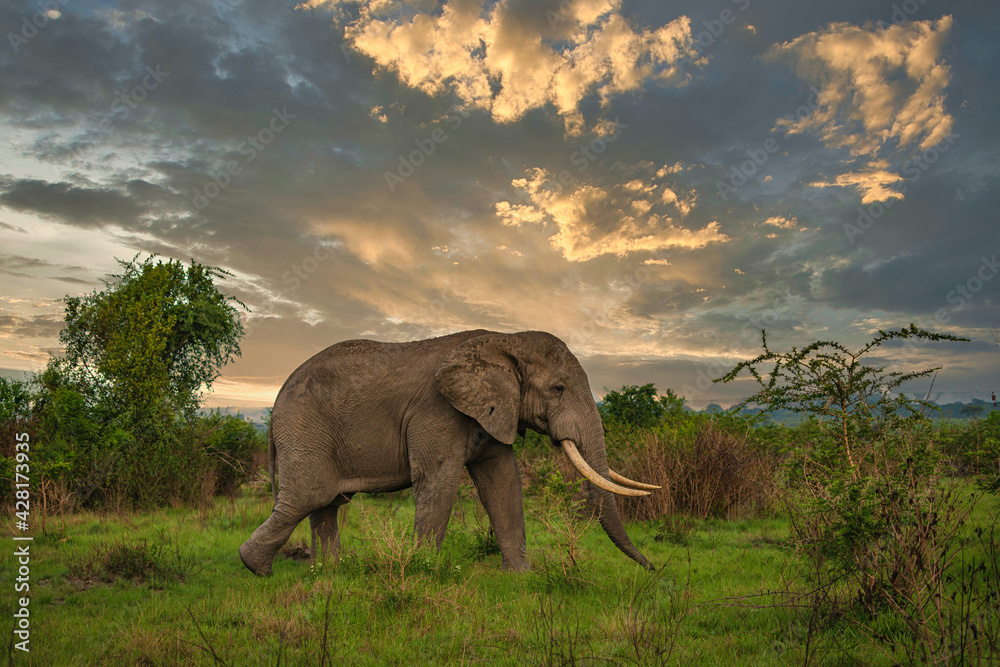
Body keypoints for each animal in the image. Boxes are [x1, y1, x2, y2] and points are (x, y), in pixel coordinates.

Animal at [239, 329, 658, 576]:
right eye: (557, 388)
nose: (653, 569)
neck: (505, 340)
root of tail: (277, 397)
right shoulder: (437, 411)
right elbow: (438, 481)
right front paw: (423, 571)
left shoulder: (493, 412)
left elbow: (503, 483)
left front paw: (520, 577)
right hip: (305, 429)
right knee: (308, 496)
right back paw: (257, 568)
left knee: (327, 503)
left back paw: (328, 573)